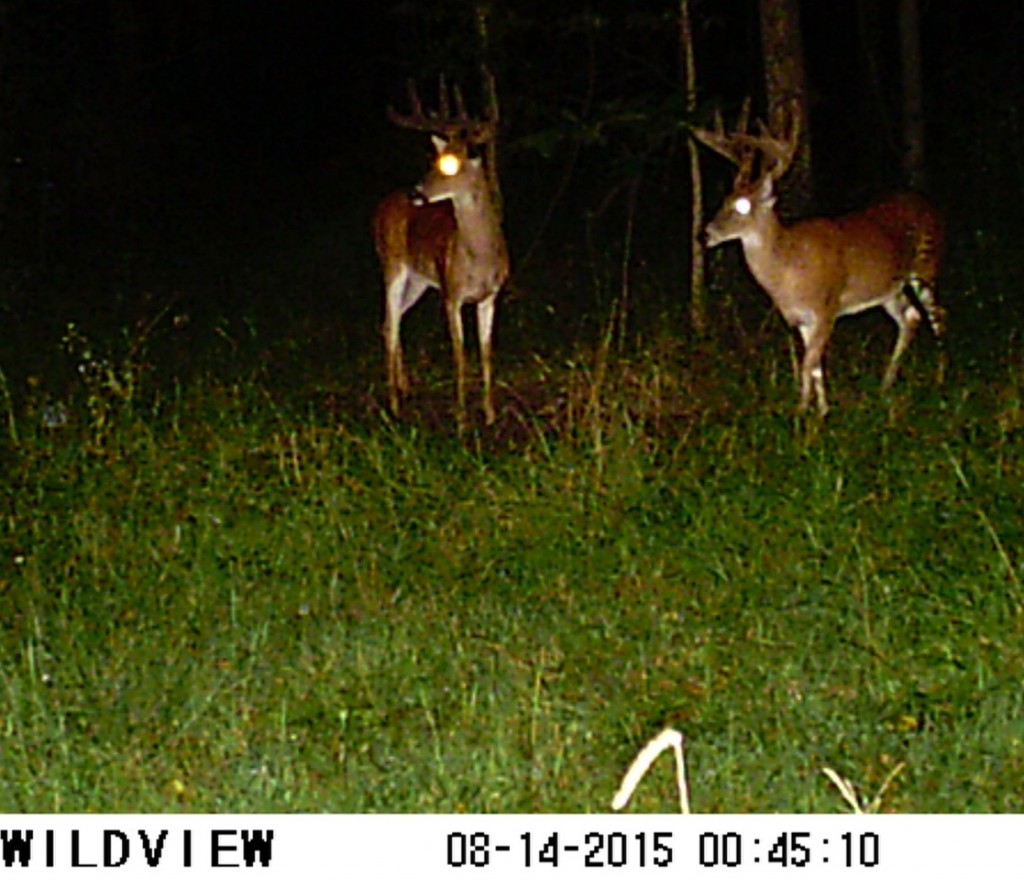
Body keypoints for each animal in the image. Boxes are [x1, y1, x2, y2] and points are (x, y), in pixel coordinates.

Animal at [373, 78, 509, 429]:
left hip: (420, 280)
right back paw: (394, 404)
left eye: (450, 164)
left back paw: (405, 388)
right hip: (392, 263)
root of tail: (382, 205)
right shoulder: (452, 293)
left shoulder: (491, 295)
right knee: (390, 322)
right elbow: (459, 352)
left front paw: (490, 413)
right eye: (434, 160)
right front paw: (461, 418)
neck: (479, 257)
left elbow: (486, 351)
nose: (416, 193)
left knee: (392, 320)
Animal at [692, 99, 945, 416]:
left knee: (938, 314)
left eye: (742, 206)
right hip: (887, 289)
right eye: (725, 200)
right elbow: (814, 368)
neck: (788, 267)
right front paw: (820, 410)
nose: (704, 235)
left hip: (926, 266)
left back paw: (940, 382)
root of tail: (929, 204)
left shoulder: (828, 307)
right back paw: (886, 385)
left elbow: (807, 365)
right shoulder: (800, 318)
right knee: (910, 317)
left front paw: (803, 415)